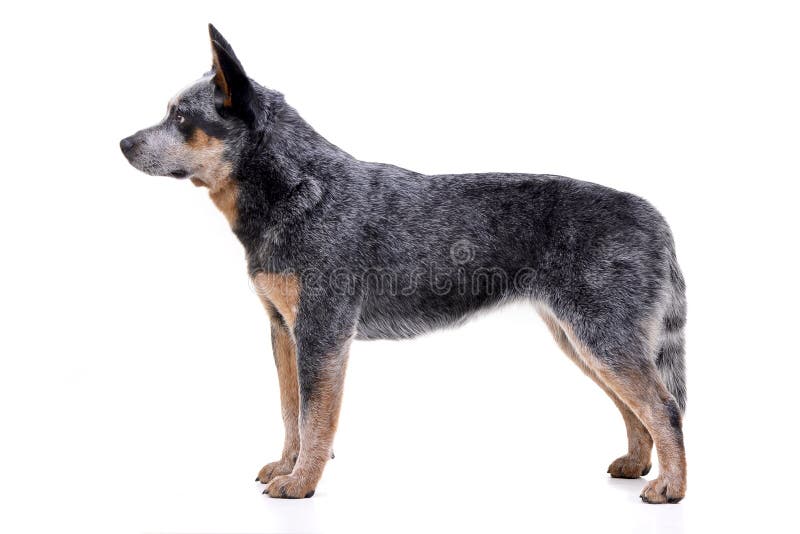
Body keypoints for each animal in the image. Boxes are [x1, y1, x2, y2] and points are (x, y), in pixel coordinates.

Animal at [120, 24, 688, 502]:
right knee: (635, 407)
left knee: (664, 406)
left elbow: (313, 415)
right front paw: (287, 466)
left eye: (180, 116)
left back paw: (670, 488)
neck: (298, 188)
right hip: (581, 339)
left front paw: (302, 482)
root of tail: (656, 217)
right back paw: (636, 465)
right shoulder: (282, 328)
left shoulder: (323, 331)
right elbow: (288, 409)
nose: (123, 142)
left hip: (601, 336)